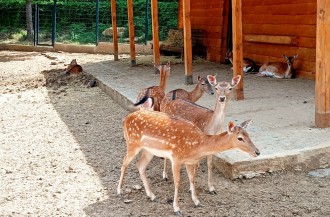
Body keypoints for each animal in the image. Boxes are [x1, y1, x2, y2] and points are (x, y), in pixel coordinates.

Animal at [117, 109, 260, 216]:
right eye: (240, 138)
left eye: (249, 135)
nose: (257, 152)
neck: (197, 146)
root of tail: (125, 119)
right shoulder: (176, 157)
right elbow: (177, 182)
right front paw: (177, 208)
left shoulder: (190, 161)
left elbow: (192, 179)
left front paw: (197, 201)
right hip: (132, 142)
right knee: (124, 163)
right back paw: (119, 191)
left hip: (149, 150)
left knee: (140, 165)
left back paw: (152, 195)